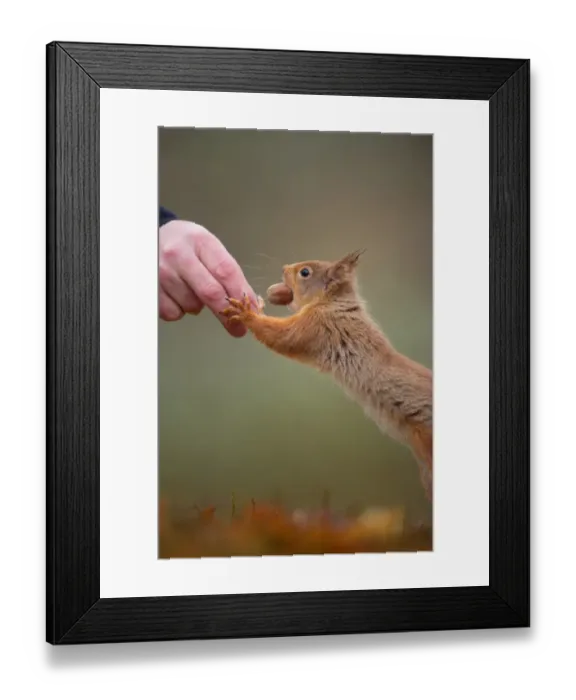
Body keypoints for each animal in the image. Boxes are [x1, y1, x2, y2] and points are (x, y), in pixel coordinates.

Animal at [221, 250, 433, 503]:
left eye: (305, 272)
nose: (284, 268)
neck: (333, 302)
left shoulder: (318, 325)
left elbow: (284, 336)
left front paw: (246, 313)